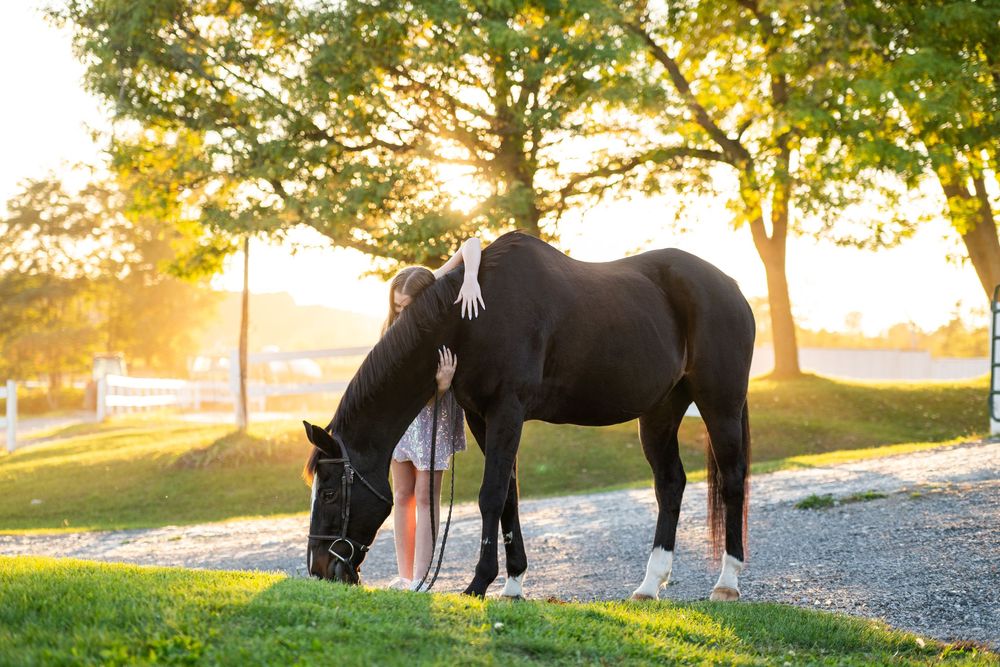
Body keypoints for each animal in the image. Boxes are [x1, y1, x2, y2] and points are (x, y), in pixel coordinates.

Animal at [303, 231, 754, 600]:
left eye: (329, 493)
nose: (319, 568)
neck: (474, 319)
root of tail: (731, 286)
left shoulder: (508, 410)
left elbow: (490, 495)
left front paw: (478, 583)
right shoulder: (482, 417)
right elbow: (509, 497)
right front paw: (513, 584)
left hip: (720, 404)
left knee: (732, 480)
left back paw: (726, 583)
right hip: (661, 411)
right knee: (670, 484)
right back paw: (648, 585)